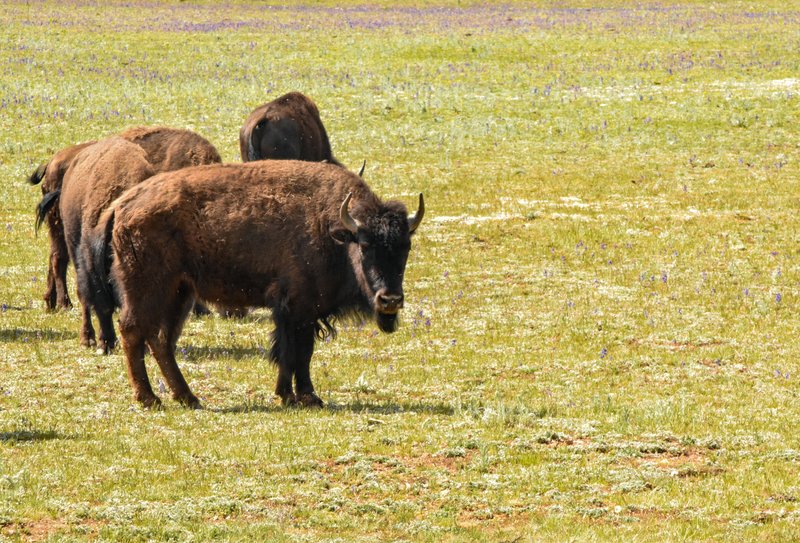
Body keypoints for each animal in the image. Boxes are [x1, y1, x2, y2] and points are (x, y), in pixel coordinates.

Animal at [87, 160, 424, 408]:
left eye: (405, 247)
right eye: (365, 246)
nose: (390, 300)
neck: (335, 230)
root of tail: (121, 205)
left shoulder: (295, 311)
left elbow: (292, 351)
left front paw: (288, 394)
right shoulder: (298, 307)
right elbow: (298, 352)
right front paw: (306, 397)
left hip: (179, 293)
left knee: (161, 340)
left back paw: (188, 398)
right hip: (147, 289)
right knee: (133, 332)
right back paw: (150, 399)